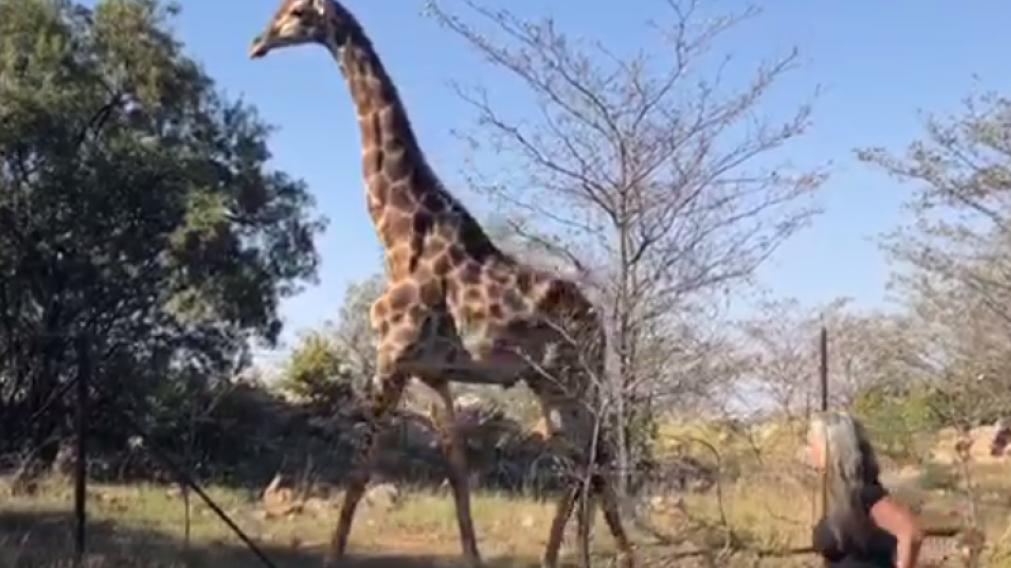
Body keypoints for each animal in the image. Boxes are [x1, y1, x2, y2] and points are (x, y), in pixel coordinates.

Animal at [248, 2, 634, 567]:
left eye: (295, 12)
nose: (256, 44)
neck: (398, 234)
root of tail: (600, 325)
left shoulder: (391, 357)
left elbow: (360, 471)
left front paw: (332, 557)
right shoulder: (433, 373)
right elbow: (457, 475)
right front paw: (472, 556)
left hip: (571, 379)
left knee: (590, 459)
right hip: (548, 383)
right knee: (585, 459)